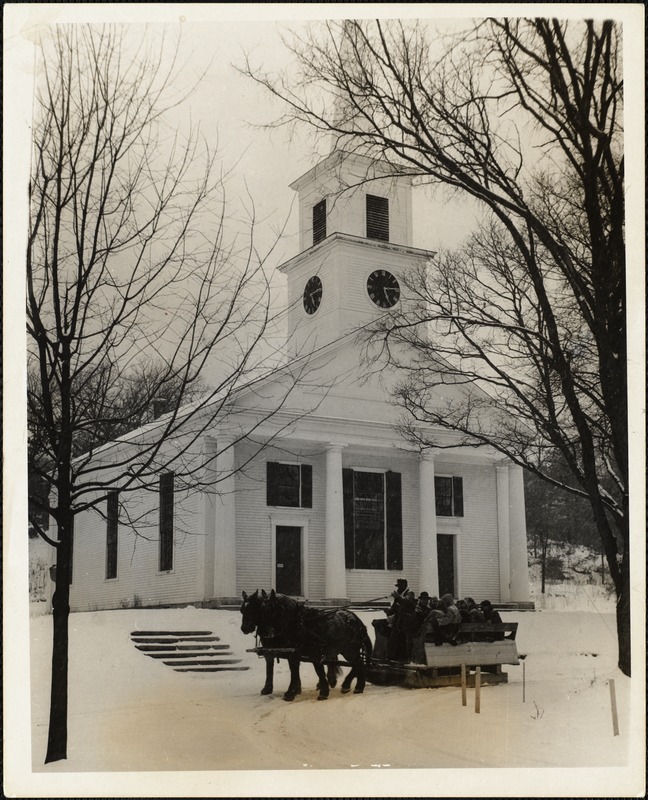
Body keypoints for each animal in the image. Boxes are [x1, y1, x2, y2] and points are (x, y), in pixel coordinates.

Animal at [240, 588, 372, 700]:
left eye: (269, 609)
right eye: (242, 610)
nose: (244, 628)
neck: (299, 623)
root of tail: (359, 622)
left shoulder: (312, 652)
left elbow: (316, 670)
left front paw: (321, 692)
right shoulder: (287, 652)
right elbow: (288, 670)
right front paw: (291, 690)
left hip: (350, 649)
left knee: (358, 663)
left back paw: (351, 685)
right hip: (344, 649)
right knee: (357, 664)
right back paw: (353, 686)